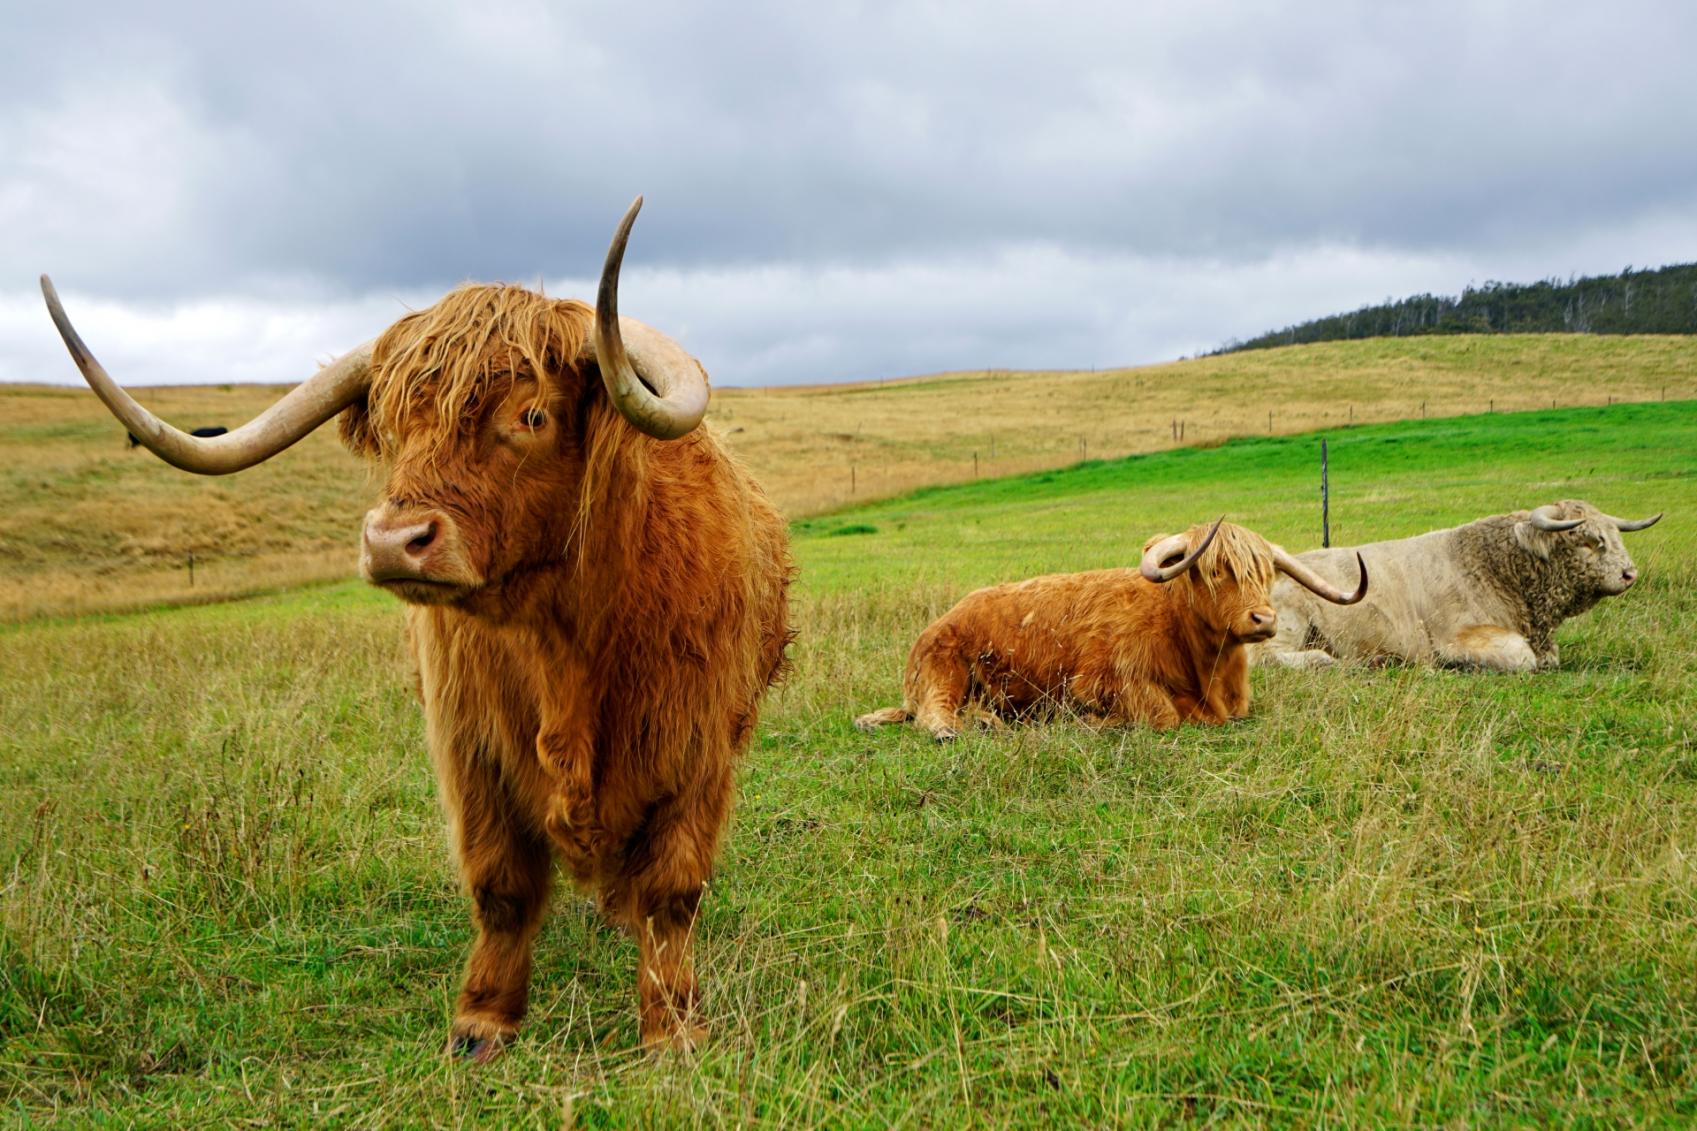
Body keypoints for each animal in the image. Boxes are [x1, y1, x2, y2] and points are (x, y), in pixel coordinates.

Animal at [41, 197, 794, 1052]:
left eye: (532, 413)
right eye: (397, 426)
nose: (393, 540)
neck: (567, 639)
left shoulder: (695, 750)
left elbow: (671, 890)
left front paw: (673, 1027)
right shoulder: (470, 750)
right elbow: (500, 884)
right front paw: (482, 1020)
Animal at [855, 519, 1357, 740]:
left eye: (1265, 574)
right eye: (1215, 571)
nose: (1264, 619)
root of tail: (938, 623)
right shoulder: (1100, 681)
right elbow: (1162, 715)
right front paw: (1091, 722)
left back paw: (984, 720)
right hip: (946, 671)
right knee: (934, 714)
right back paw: (959, 728)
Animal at [1255, 495, 1663, 669]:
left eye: (1614, 533)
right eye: (1588, 541)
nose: (1630, 574)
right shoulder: (1457, 635)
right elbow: (1522, 658)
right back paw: (1325, 661)